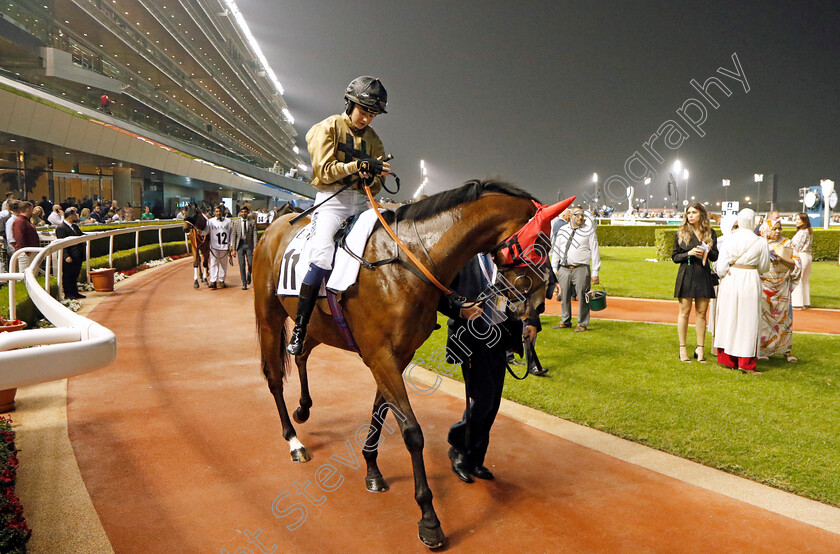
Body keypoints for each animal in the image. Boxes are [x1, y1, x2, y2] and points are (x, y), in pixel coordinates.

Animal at [253, 179, 568, 544]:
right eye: (540, 246)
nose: (539, 306)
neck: (406, 262)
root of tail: (274, 225)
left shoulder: (396, 357)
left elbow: (380, 411)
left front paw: (372, 469)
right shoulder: (380, 355)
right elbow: (412, 432)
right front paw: (429, 517)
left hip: (319, 326)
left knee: (301, 352)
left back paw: (303, 408)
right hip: (269, 318)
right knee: (274, 377)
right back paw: (293, 439)